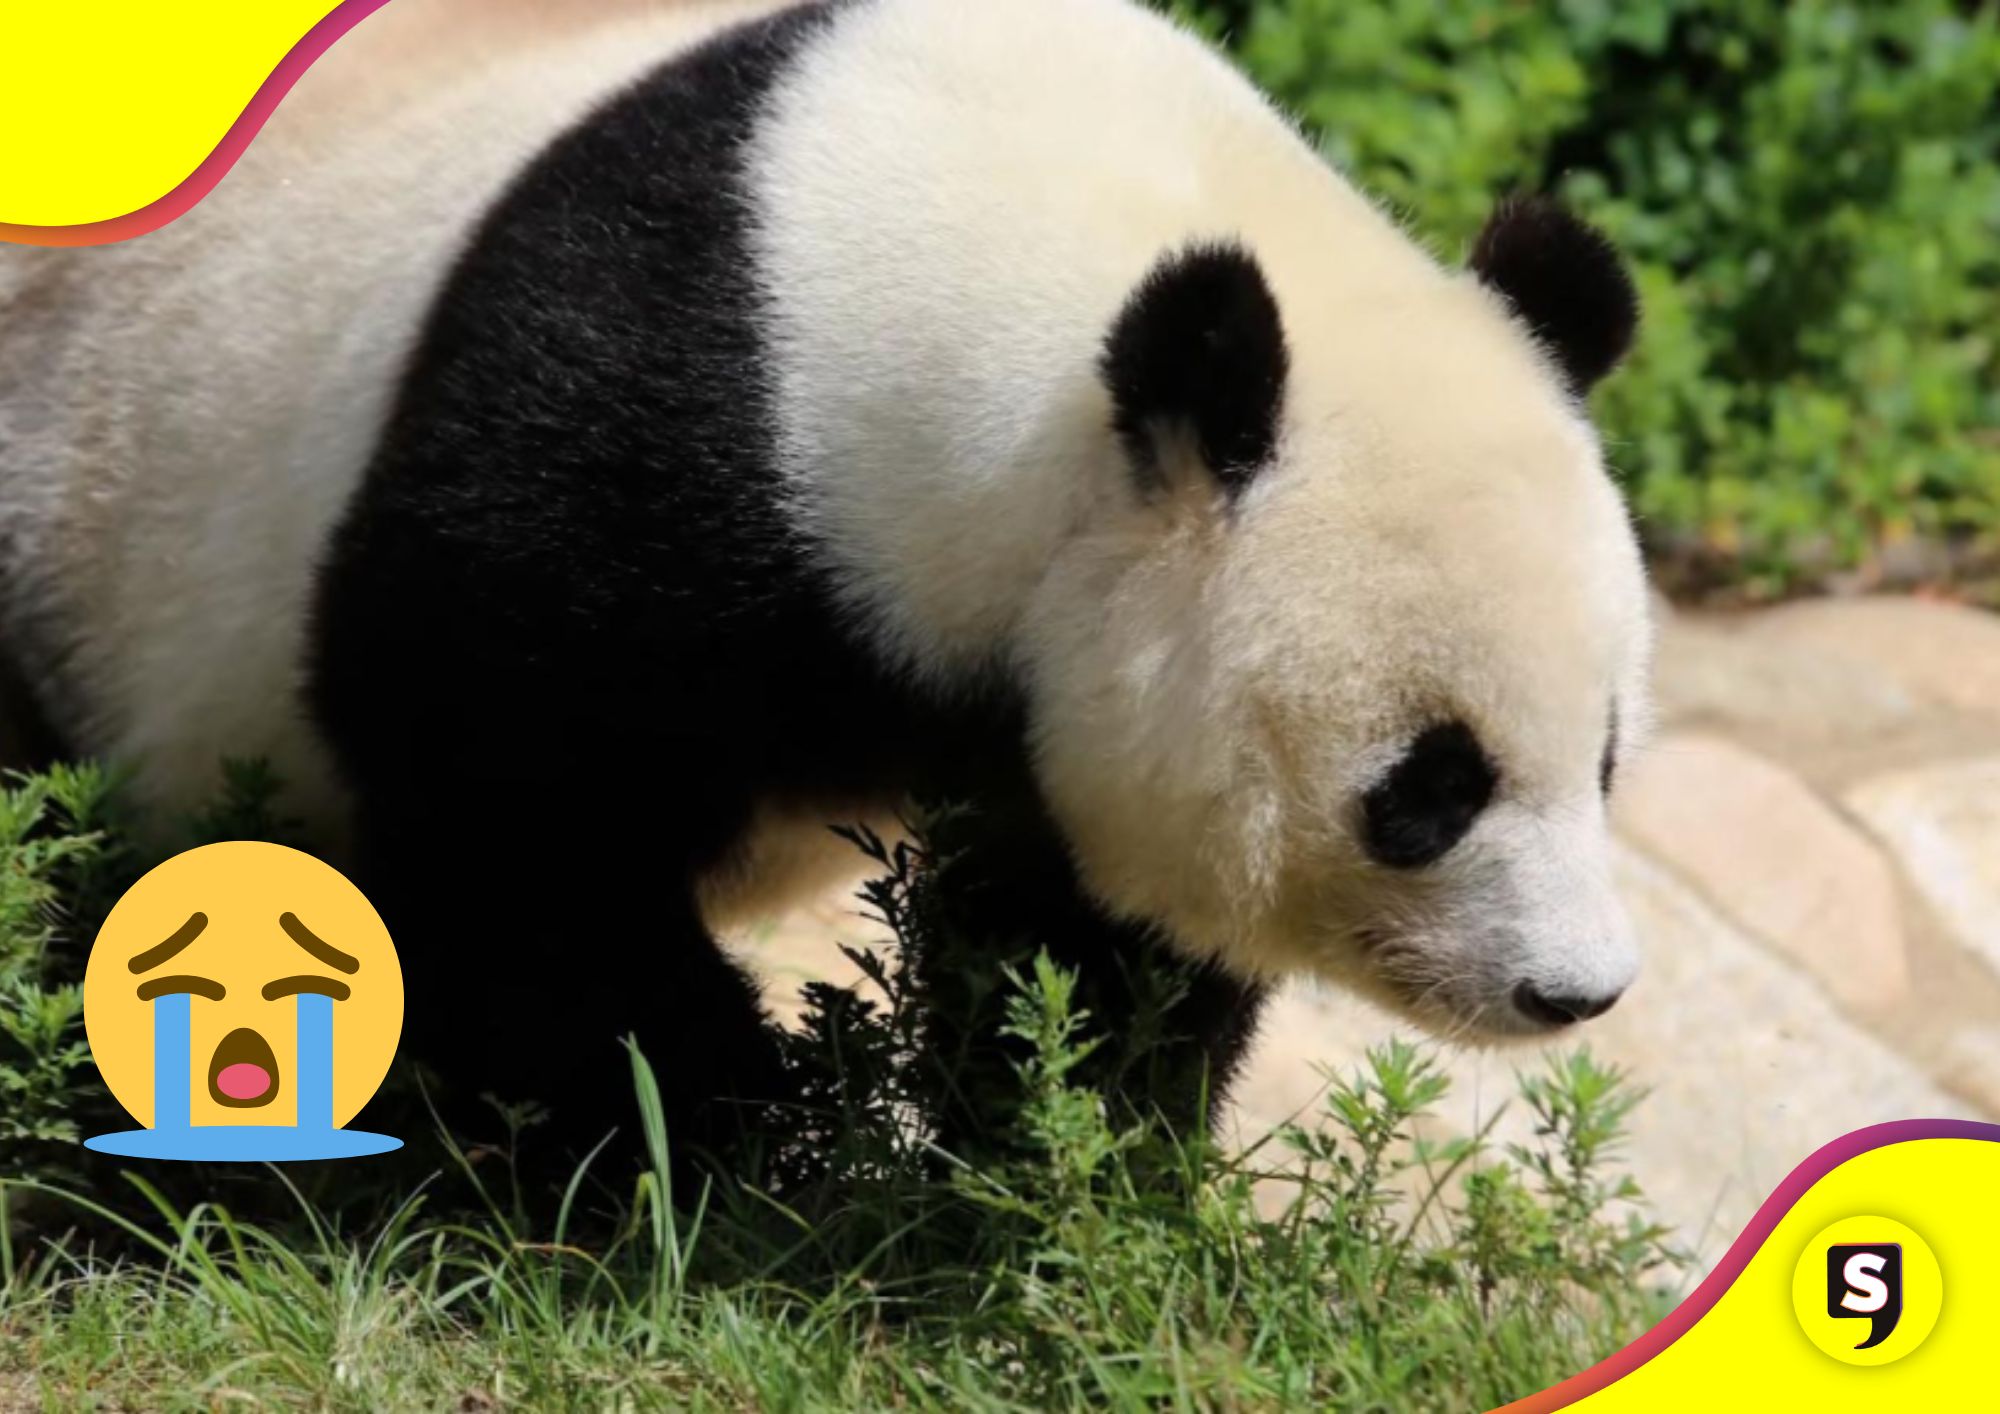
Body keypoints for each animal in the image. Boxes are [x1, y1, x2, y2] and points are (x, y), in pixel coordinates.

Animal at [0, 0, 1650, 1162]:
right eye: (1429, 785)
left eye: (1608, 760)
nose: (1575, 991)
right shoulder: (630, 435)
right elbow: (507, 808)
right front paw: (719, 1127)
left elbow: (1084, 937)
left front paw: (1081, 1155)